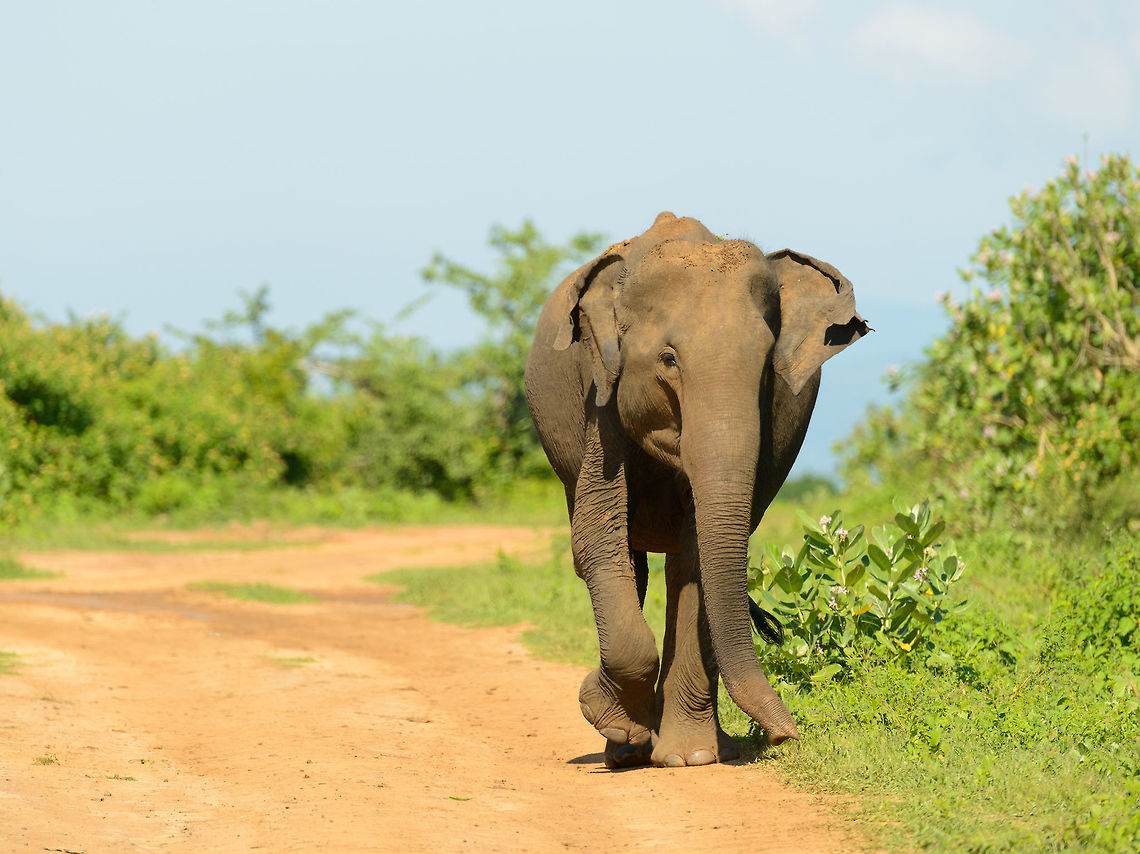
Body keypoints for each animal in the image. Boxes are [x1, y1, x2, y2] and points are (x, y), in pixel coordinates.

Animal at [524, 212, 869, 768]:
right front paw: (609, 717)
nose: (785, 735)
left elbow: (697, 556)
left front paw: (690, 758)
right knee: (633, 561)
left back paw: (696, 747)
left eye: (766, 367)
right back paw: (624, 750)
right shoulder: (600, 394)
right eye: (668, 359)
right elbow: (597, 540)